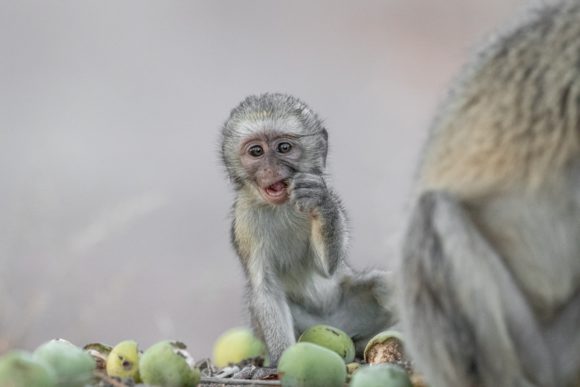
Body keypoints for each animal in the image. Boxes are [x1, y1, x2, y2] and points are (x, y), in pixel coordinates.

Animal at [221, 93, 394, 364]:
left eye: (284, 148)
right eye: (256, 151)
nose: (270, 169)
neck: (280, 206)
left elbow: (326, 268)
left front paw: (322, 204)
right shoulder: (244, 220)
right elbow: (265, 287)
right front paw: (282, 359)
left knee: (382, 284)